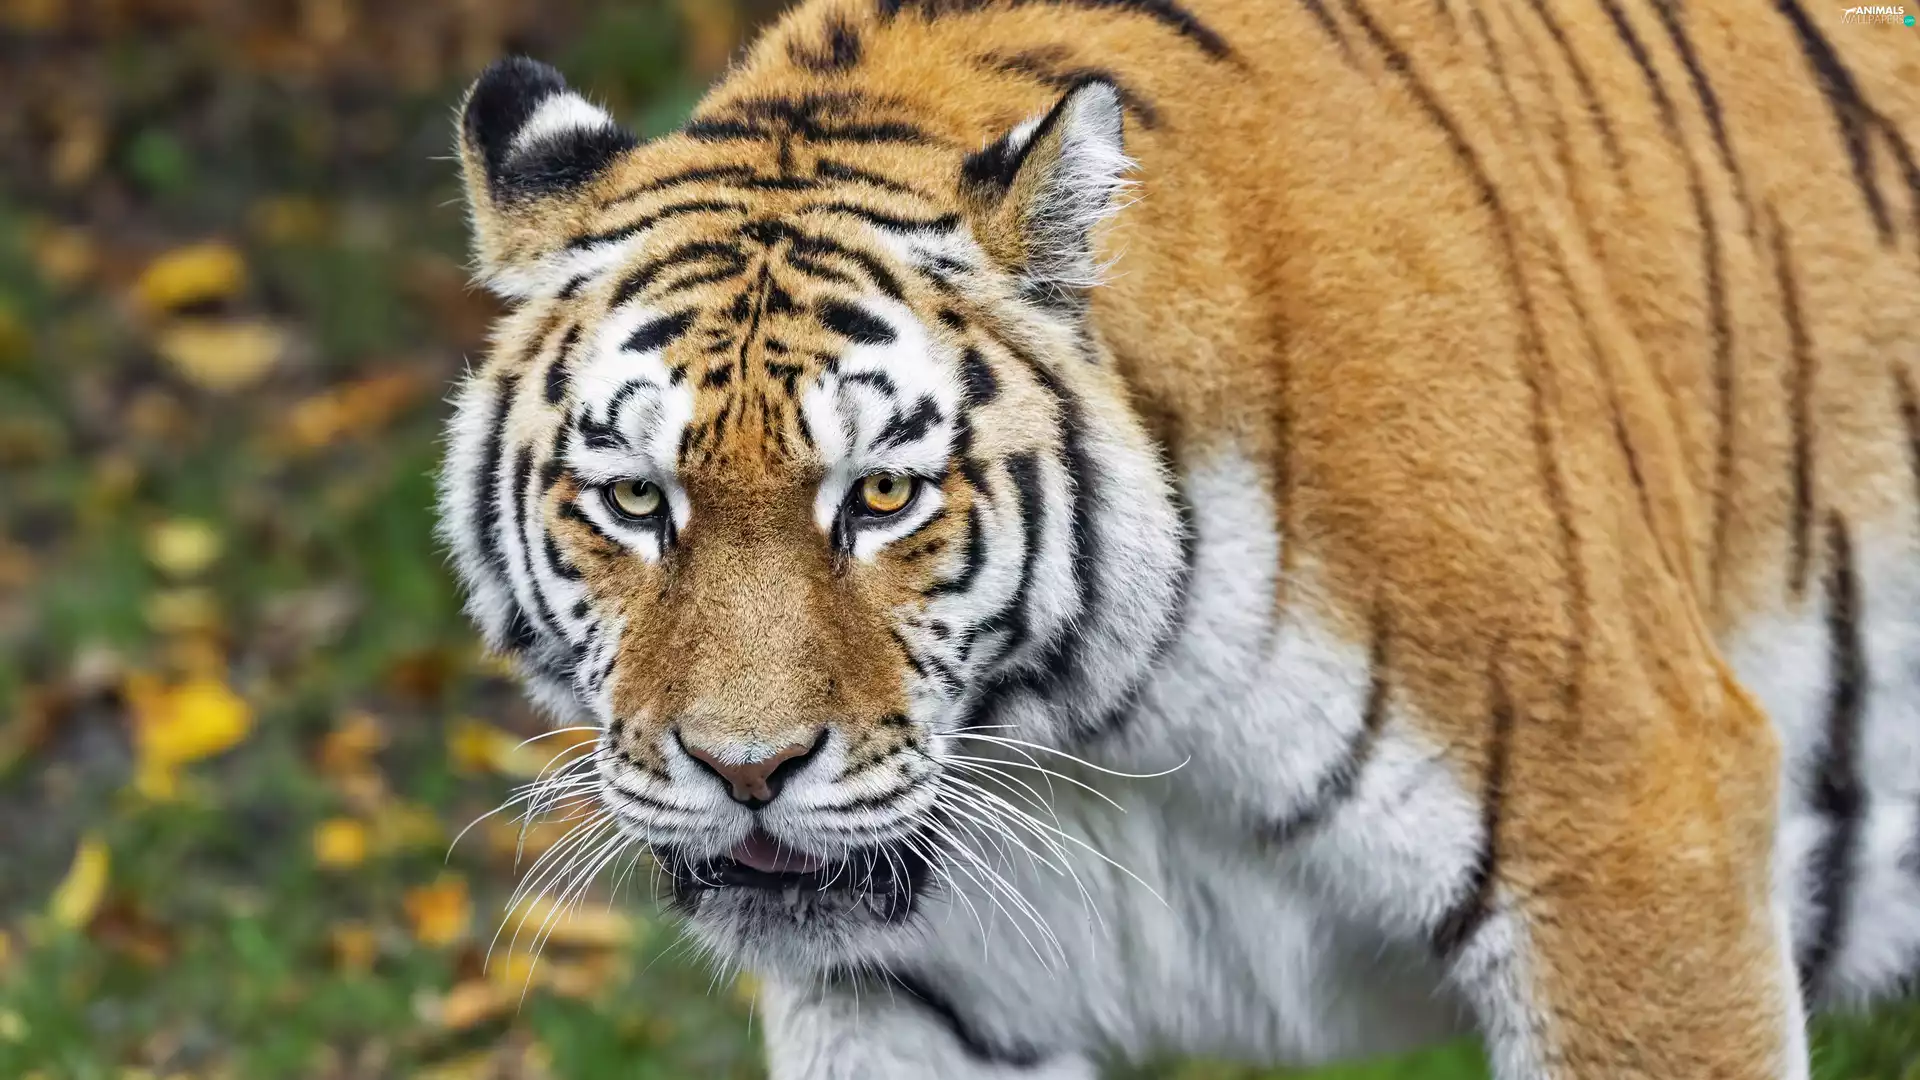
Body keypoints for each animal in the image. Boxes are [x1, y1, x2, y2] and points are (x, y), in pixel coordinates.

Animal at [435, 0, 1920, 1075]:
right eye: (637, 500)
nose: (746, 772)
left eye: (881, 497)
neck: (1087, 735)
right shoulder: (904, 997)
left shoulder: (1632, 845)